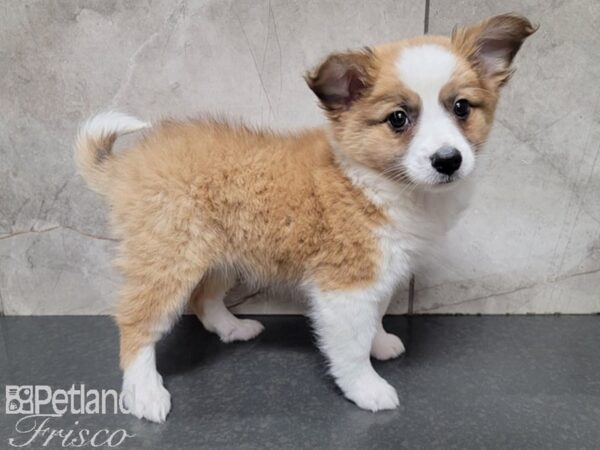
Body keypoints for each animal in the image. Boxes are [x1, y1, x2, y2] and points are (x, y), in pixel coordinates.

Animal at [74, 14, 536, 422]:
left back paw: (233, 329)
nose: (448, 160)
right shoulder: (344, 285)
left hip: (221, 256)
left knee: (204, 300)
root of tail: (126, 166)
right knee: (137, 324)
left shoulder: (380, 275)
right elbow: (350, 347)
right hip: (167, 260)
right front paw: (367, 389)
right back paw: (145, 394)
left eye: (462, 108)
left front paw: (380, 343)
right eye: (398, 118)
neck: (373, 182)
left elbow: (375, 316)